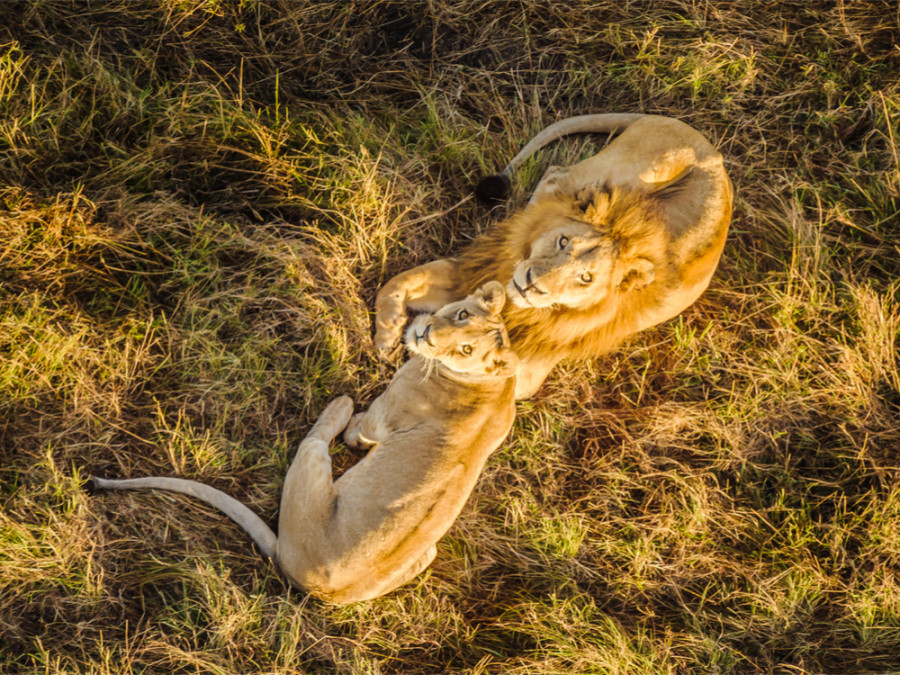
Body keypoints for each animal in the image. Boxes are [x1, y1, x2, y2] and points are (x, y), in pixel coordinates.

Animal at [89, 282, 520, 604]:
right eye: (462, 316)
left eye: (465, 348)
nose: (427, 334)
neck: (496, 385)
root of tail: (295, 572)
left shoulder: (383, 418)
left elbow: (360, 432)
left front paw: (351, 423)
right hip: (425, 553)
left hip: (310, 459)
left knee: (316, 437)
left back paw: (339, 405)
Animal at [372, 113, 732, 398]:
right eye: (563, 242)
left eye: (586, 278)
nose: (533, 284)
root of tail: (713, 151)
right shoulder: (470, 270)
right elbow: (396, 283)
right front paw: (389, 331)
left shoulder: (526, 372)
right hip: (633, 170)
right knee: (557, 174)